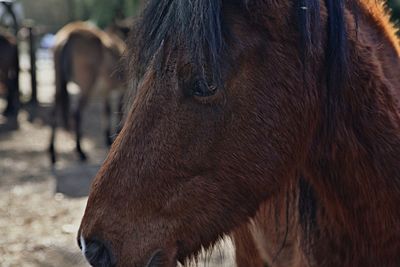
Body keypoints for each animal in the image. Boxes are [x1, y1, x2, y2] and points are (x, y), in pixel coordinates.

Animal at [49, 21, 126, 163]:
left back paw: (52, 153)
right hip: (86, 87)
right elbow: (119, 112)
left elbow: (106, 111)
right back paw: (80, 151)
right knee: (77, 113)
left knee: (55, 112)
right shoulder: (122, 89)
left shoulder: (105, 92)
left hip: (58, 82)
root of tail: (69, 35)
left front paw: (108, 138)